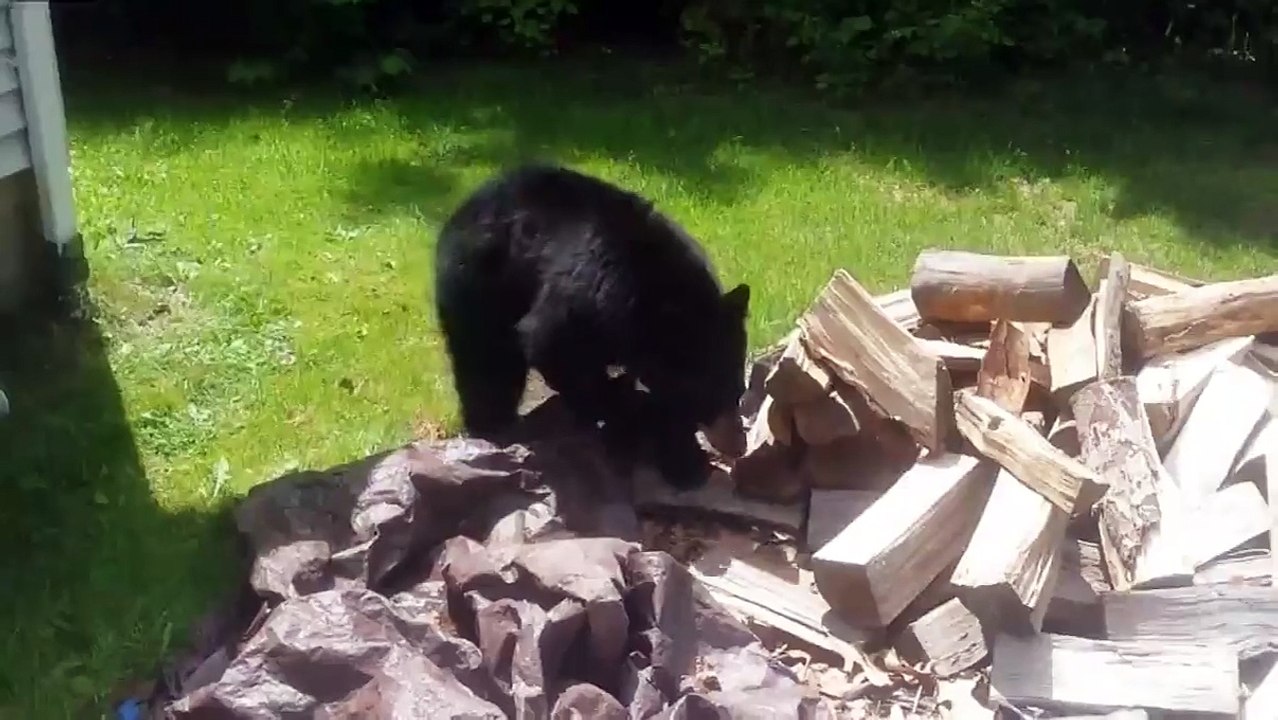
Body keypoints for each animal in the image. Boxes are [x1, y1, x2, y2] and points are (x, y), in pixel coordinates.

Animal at [433, 162, 751, 489]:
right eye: (710, 396)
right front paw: (618, 409)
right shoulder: (587, 300)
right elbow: (554, 347)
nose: (738, 445)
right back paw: (492, 425)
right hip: (481, 282)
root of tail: (466, 205)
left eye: (739, 390)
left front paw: (684, 459)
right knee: (486, 361)